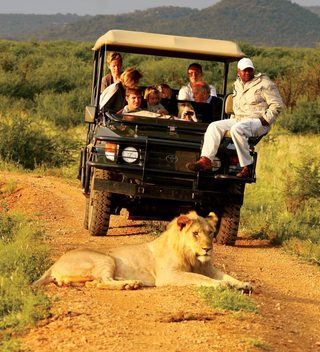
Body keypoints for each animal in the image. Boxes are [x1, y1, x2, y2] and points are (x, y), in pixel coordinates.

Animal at [32, 212, 252, 292]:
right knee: (104, 280)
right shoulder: (169, 275)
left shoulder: (208, 268)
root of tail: (54, 263)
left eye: (211, 233)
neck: (193, 257)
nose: (208, 249)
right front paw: (222, 285)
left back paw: (129, 283)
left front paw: (243, 284)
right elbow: (202, 279)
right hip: (105, 259)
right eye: (195, 233)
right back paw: (130, 284)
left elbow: (228, 276)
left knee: (96, 283)